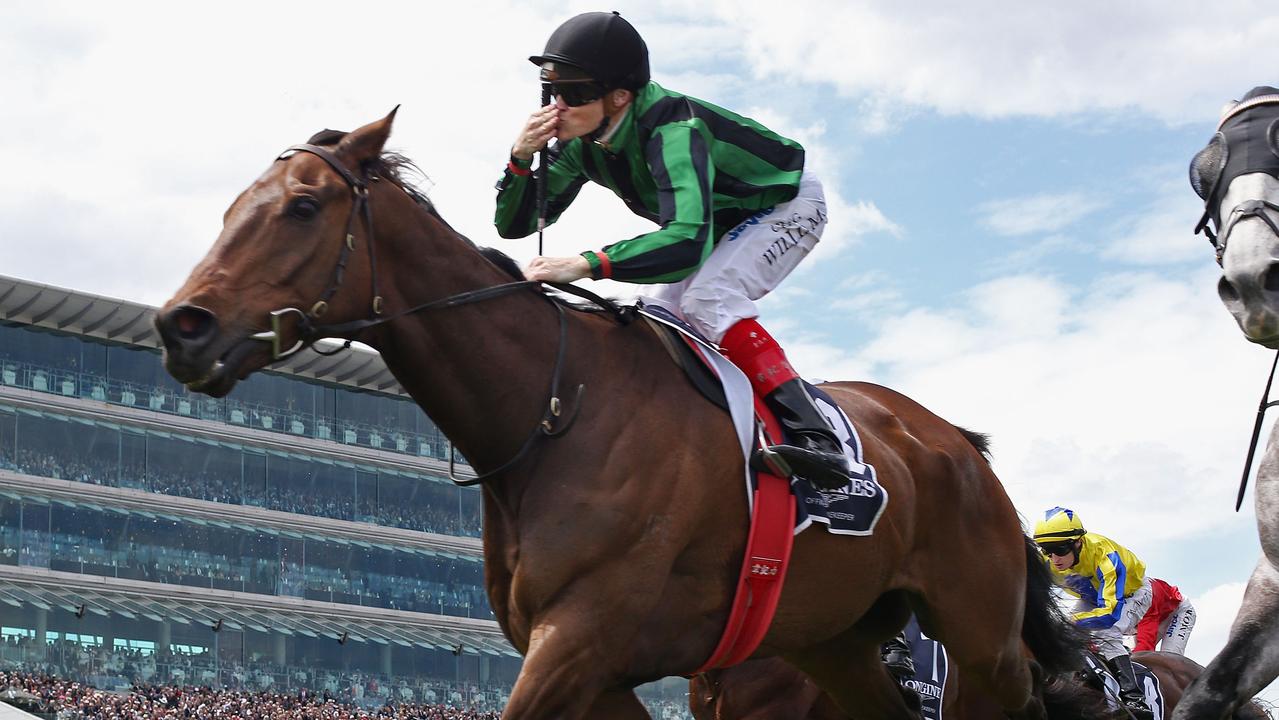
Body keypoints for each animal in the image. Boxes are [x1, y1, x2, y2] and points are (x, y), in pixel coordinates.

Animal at [157, 111, 1079, 720]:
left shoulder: (581, 637)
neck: (555, 409)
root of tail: (955, 443)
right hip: (838, 641)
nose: (181, 326)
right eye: (233, 205)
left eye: (302, 206)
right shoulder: (594, 666)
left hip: (978, 635)